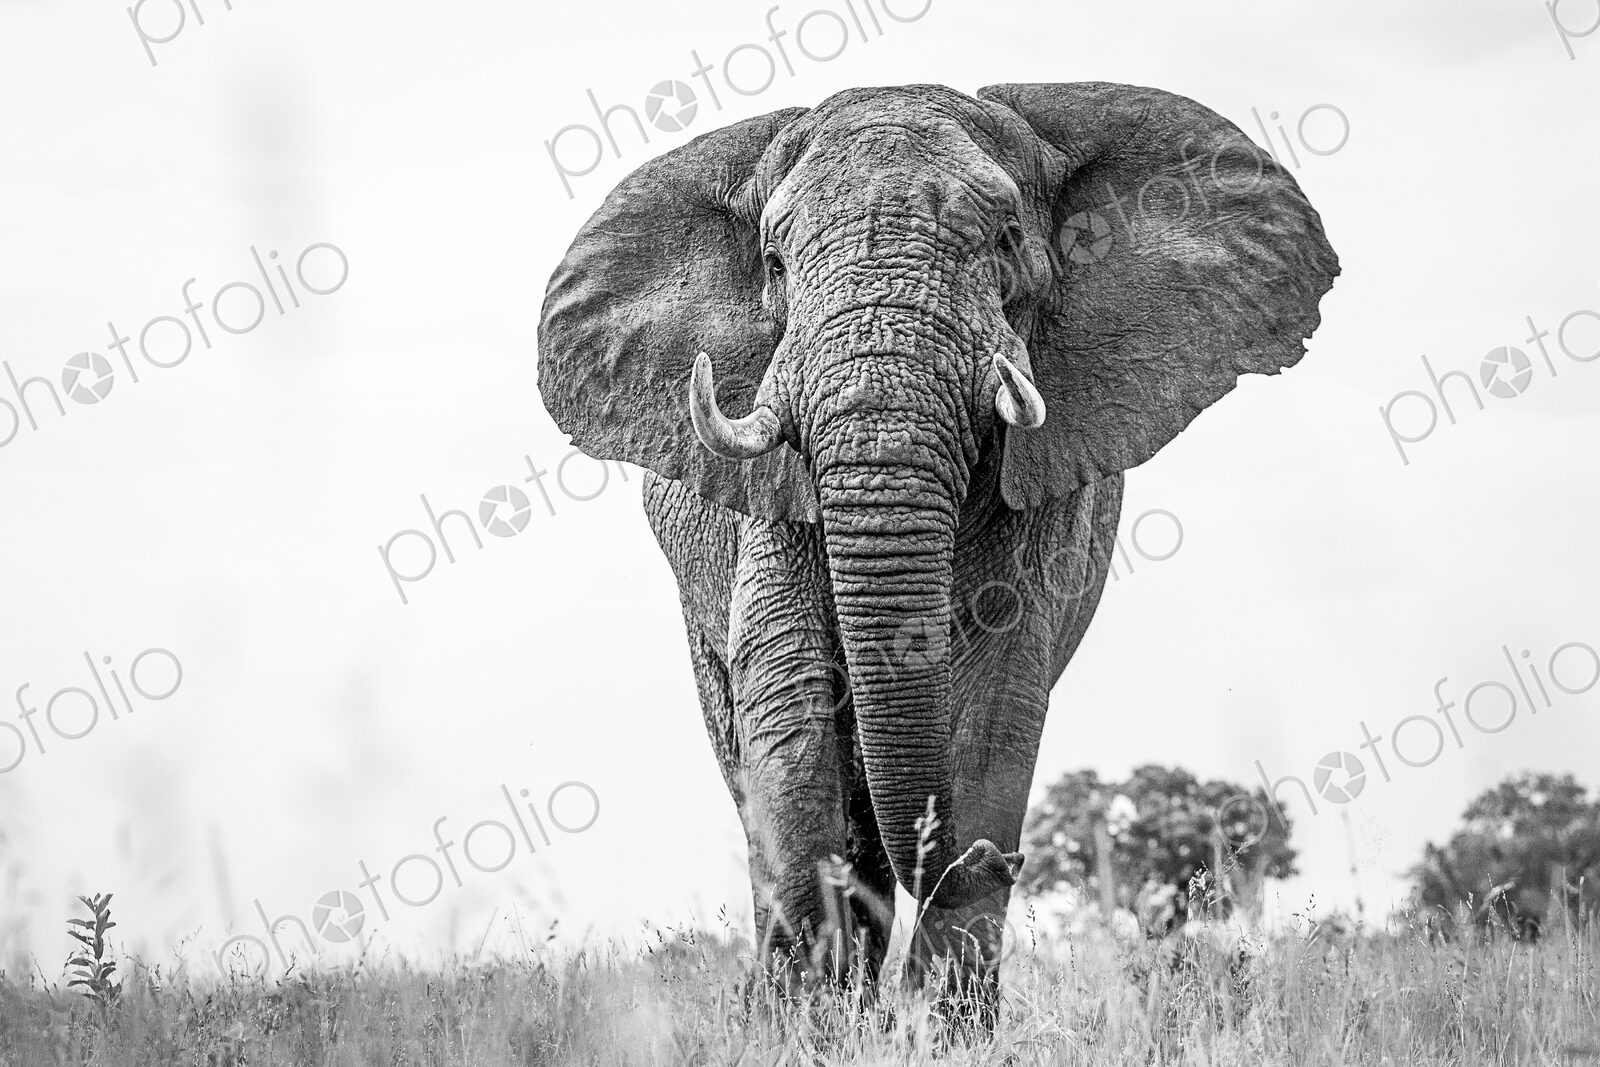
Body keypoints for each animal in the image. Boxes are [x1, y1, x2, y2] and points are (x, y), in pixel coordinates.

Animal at [537, 82, 1338, 1009]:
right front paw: (810, 1011)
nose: (998, 856)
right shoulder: (772, 491)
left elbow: (999, 689)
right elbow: (786, 692)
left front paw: (939, 1014)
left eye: (1006, 239)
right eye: (774, 262)